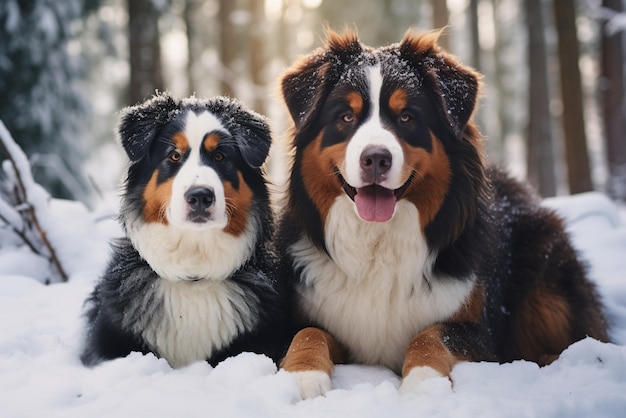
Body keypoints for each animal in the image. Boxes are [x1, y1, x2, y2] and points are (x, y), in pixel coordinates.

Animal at [276, 30, 608, 398]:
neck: (377, 242)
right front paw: (303, 376)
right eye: (346, 116)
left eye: (407, 117)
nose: (376, 158)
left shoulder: (479, 331)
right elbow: (307, 333)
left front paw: (424, 381)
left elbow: (432, 334)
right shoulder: (303, 318)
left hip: (546, 283)